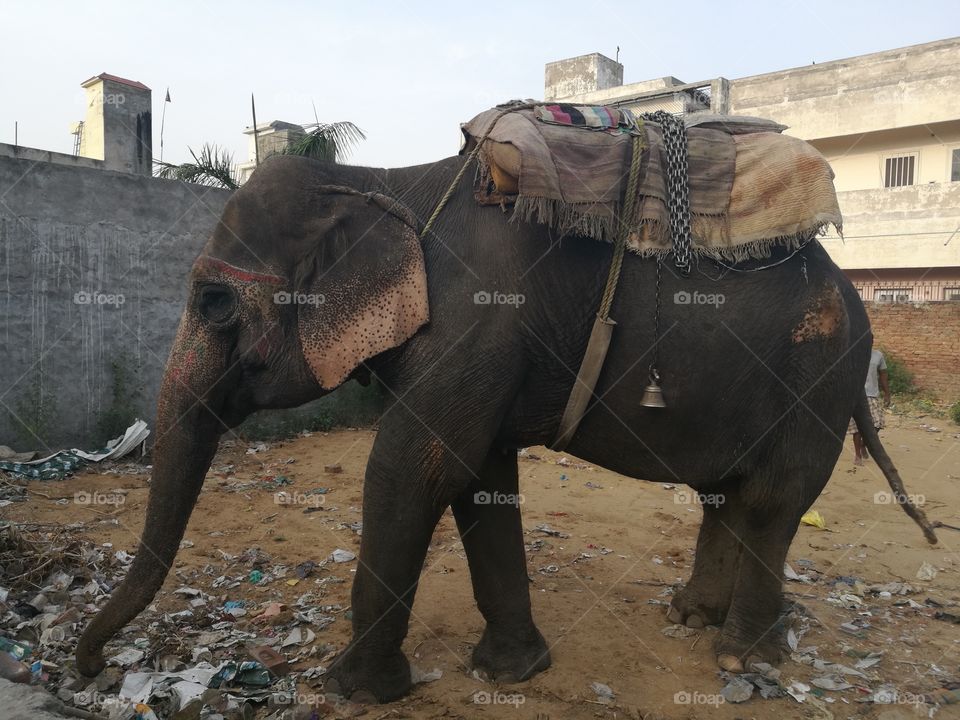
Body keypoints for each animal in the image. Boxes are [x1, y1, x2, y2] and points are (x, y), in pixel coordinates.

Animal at [75, 152, 935, 702]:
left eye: (215, 303)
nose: (86, 667)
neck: (383, 180)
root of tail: (860, 305)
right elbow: (478, 480)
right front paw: (512, 672)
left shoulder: (478, 321)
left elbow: (412, 469)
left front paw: (355, 690)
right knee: (728, 495)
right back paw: (692, 619)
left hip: (816, 379)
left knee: (770, 503)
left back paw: (742, 661)